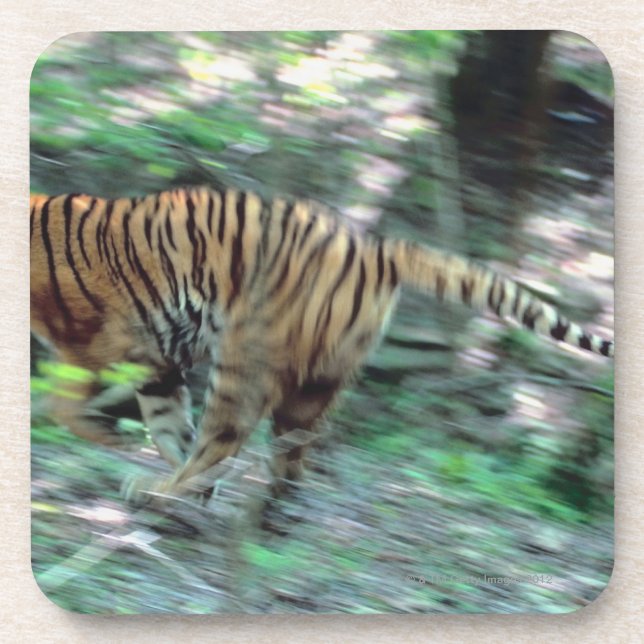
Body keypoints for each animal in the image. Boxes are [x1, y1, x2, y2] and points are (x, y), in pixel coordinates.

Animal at [30, 186, 614, 505]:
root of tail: (377, 249)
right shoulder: (157, 359)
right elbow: (170, 423)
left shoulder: (95, 342)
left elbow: (65, 405)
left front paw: (107, 441)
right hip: (318, 376)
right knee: (289, 452)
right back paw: (259, 510)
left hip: (245, 354)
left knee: (224, 438)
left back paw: (162, 493)